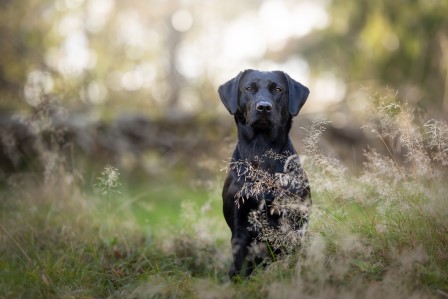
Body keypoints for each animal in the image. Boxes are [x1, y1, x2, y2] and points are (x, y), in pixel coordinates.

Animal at [218, 70, 312, 278]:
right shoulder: (240, 226)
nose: (263, 107)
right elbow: (242, 268)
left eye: (278, 89)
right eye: (248, 88)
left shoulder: (294, 223)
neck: (261, 150)